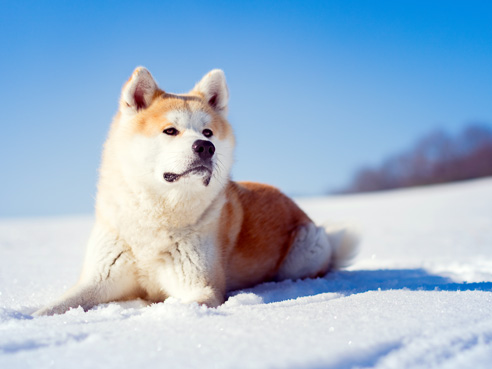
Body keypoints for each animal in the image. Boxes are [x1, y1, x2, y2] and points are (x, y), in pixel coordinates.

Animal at [34, 66, 358, 314]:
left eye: (208, 132)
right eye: (170, 131)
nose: (206, 147)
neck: (156, 214)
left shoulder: (200, 287)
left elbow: (176, 304)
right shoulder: (99, 279)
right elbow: (56, 306)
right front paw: (31, 318)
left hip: (304, 253)